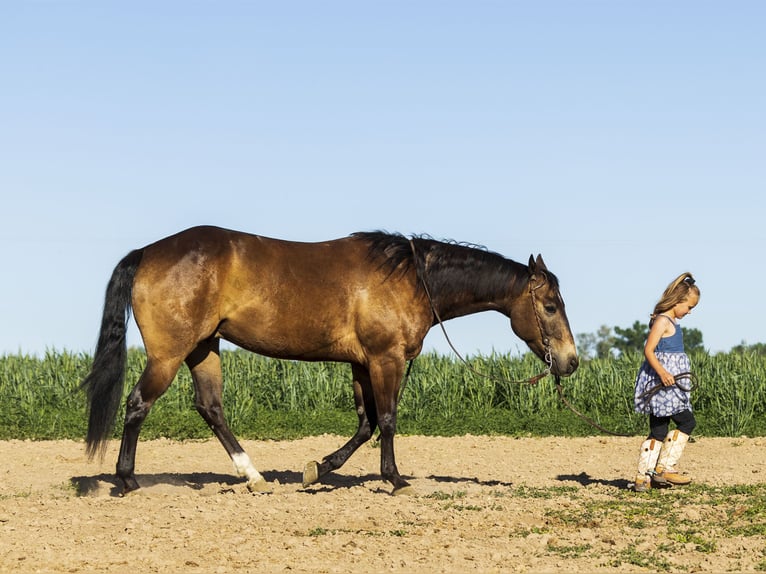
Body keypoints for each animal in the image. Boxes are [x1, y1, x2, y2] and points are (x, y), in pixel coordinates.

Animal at [81, 227, 580, 498]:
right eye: (550, 306)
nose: (571, 362)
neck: (410, 279)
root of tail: (147, 253)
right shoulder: (385, 360)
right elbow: (388, 420)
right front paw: (396, 480)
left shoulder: (361, 364)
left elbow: (365, 424)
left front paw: (317, 469)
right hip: (170, 354)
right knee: (138, 404)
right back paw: (128, 481)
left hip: (204, 348)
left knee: (211, 408)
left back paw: (255, 477)